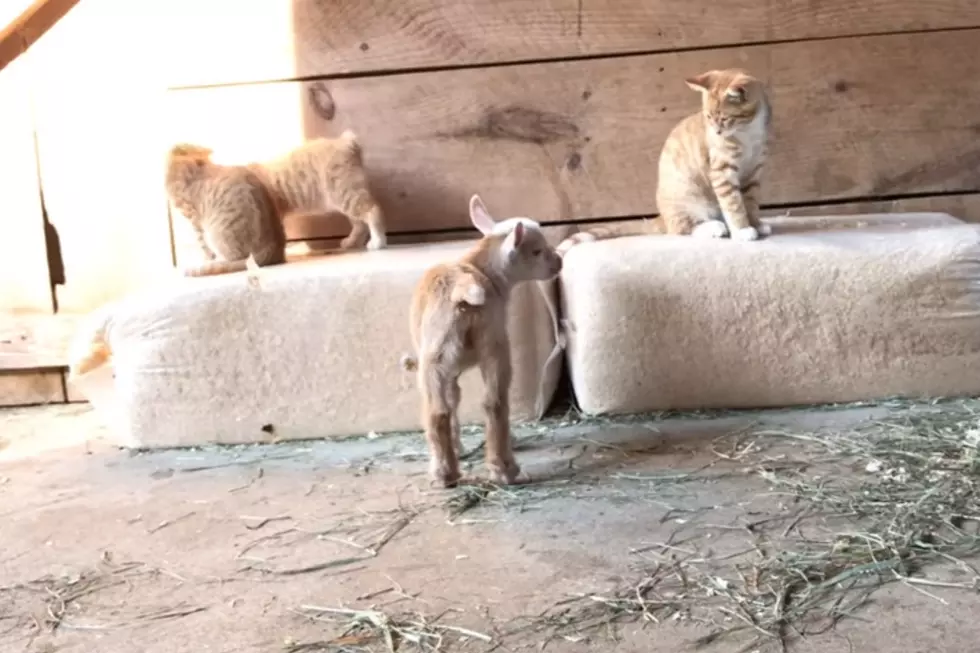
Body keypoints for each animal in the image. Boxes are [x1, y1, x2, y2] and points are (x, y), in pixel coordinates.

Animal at [165, 143, 286, 276]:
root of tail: (274, 250)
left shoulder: (191, 215)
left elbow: (201, 242)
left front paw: (207, 257)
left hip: (218, 231)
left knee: (235, 259)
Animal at [560, 68, 772, 255]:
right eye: (709, 117)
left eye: (725, 119)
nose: (717, 132)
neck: (748, 132)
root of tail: (661, 217)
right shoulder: (722, 171)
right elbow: (733, 204)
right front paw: (742, 230)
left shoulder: (755, 171)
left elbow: (750, 202)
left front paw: (755, 223)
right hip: (687, 196)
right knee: (680, 228)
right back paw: (713, 227)